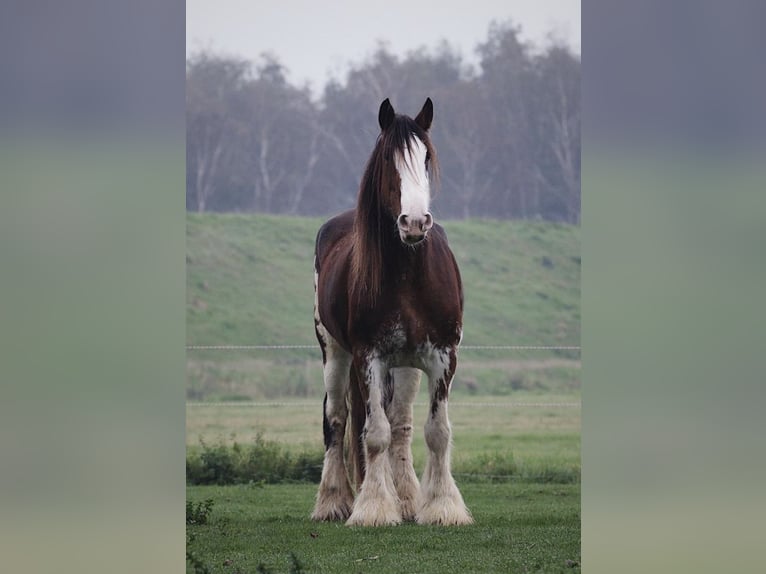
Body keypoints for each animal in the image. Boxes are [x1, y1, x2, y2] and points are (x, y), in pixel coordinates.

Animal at [312, 98, 474, 528]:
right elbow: (373, 434)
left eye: (426, 156)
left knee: (400, 424)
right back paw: (334, 500)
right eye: (389, 158)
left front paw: (442, 506)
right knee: (337, 419)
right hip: (335, 352)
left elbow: (436, 431)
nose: (415, 221)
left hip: (405, 367)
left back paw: (406, 498)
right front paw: (373, 507)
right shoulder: (369, 357)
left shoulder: (442, 357)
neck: (409, 275)